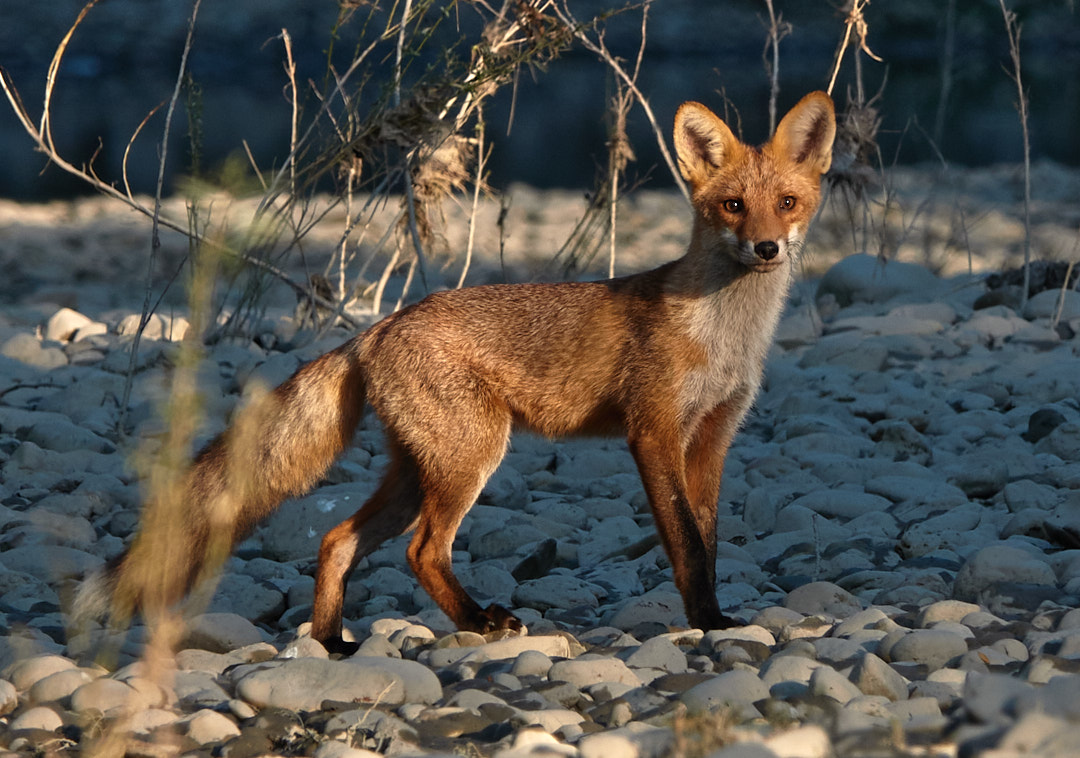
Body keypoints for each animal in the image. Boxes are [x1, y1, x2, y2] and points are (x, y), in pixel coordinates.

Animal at [76, 91, 833, 656]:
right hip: (469, 459)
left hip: (419, 471)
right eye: (732, 206)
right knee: (420, 551)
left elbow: (707, 541)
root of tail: (376, 327)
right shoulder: (652, 433)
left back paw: (331, 642)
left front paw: (713, 615)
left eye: (787, 203)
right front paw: (708, 624)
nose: (767, 248)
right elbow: (685, 544)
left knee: (337, 539)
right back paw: (477, 622)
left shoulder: (712, 437)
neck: (724, 336)